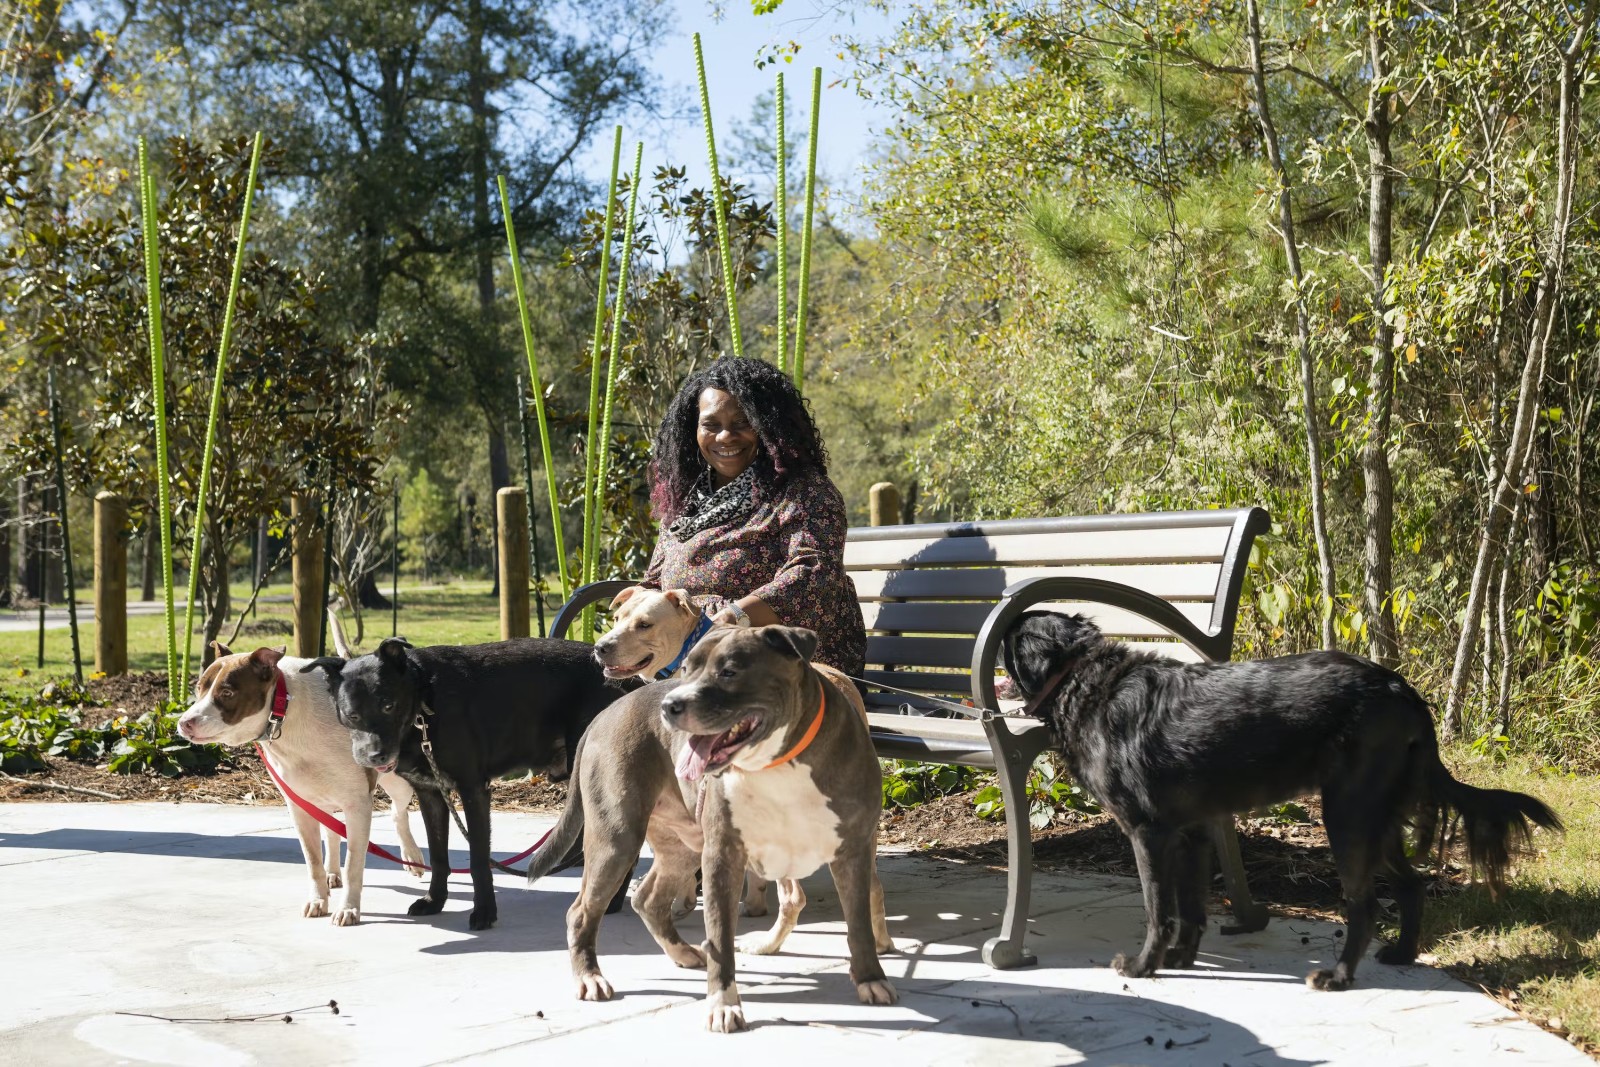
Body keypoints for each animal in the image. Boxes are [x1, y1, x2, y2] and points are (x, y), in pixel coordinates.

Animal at [176, 643, 425, 927]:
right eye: (198, 688)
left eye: (227, 692)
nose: (184, 723)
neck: (286, 710)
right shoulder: (300, 804)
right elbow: (312, 859)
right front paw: (319, 899)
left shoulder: (357, 804)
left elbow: (354, 863)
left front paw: (348, 909)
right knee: (332, 830)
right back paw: (332, 872)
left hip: (396, 781)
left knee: (398, 812)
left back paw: (412, 856)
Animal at [308, 639, 633, 927]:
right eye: (351, 714)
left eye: (388, 706)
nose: (375, 756)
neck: (424, 704)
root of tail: (629, 683)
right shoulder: (431, 795)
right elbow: (439, 856)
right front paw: (434, 901)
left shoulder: (474, 790)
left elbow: (478, 860)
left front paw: (485, 912)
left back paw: (613, 902)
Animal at [528, 620, 896, 1030]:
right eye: (687, 669)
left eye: (729, 672)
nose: (669, 706)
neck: (779, 762)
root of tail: (606, 713)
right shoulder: (723, 855)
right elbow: (720, 937)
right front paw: (723, 1004)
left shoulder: (853, 852)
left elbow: (859, 924)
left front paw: (871, 979)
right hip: (617, 840)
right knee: (582, 912)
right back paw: (590, 977)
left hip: (683, 846)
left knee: (648, 899)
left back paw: (683, 953)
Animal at [998, 607, 1561, 991]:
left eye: (1004, 639)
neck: (1084, 680)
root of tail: (1402, 689)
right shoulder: (1192, 833)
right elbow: (1191, 908)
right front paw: (1180, 959)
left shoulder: (1148, 833)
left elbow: (1160, 909)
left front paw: (1144, 966)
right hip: (1377, 821)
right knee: (1411, 886)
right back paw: (1401, 955)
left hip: (1347, 817)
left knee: (1364, 904)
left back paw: (1338, 976)